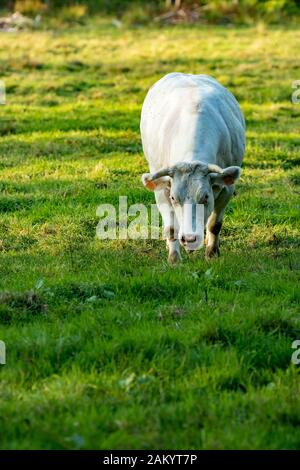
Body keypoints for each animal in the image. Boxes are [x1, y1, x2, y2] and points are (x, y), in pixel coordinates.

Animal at [140, 73, 244, 264]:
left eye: (205, 197)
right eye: (174, 198)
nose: (189, 238)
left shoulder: (226, 189)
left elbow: (214, 224)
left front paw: (211, 253)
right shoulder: (162, 190)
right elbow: (171, 228)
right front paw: (174, 259)